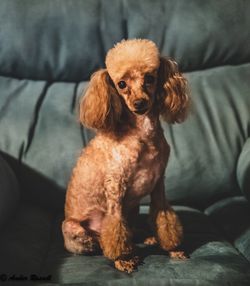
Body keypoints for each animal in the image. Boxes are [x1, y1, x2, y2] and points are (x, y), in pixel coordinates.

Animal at [62, 38, 189, 272]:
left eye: (150, 78)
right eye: (121, 84)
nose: (139, 103)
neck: (143, 135)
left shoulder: (158, 184)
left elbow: (164, 219)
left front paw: (173, 249)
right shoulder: (115, 187)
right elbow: (115, 227)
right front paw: (123, 259)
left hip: (133, 207)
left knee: (131, 229)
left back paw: (146, 238)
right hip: (73, 228)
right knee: (97, 240)